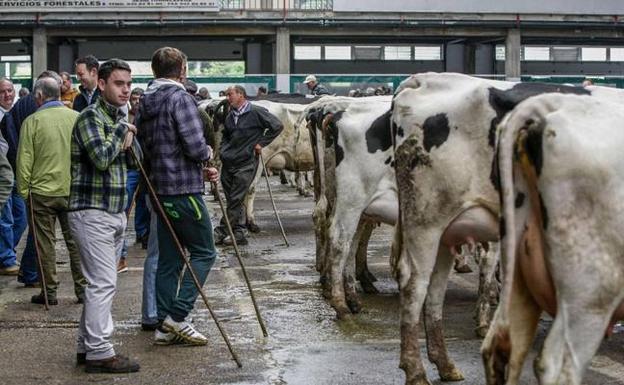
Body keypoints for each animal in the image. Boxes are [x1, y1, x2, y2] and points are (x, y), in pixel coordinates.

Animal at [388, 73, 596, 384]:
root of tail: (422, 80)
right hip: (426, 222)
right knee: (414, 287)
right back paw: (416, 371)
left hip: (446, 232)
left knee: (435, 291)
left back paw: (445, 364)